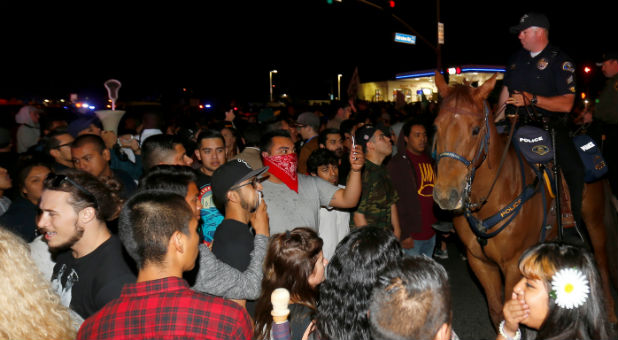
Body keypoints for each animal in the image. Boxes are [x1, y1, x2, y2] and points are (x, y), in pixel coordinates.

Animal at [428, 71, 616, 326]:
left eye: (475, 130)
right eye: (436, 127)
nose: (446, 195)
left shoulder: (512, 265)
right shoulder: (480, 263)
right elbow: (497, 311)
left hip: (594, 220)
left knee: (602, 262)